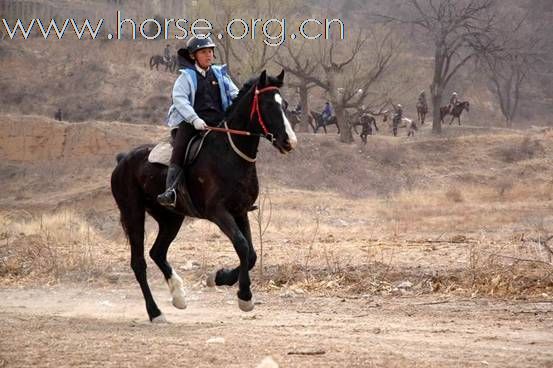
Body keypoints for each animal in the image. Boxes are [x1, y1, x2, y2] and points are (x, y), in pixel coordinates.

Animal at [109, 69, 298, 322]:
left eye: (284, 104)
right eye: (267, 105)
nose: (289, 141)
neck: (229, 154)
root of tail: (122, 159)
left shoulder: (240, 211)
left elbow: (251, 253)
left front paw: (221, 278)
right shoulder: (219, 212)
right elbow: (242, 246)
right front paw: (244, 296)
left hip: (171, 218)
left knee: (157, 252)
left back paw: (178, 296)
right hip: (133, 214)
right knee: (139, 263)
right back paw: (155, 312)